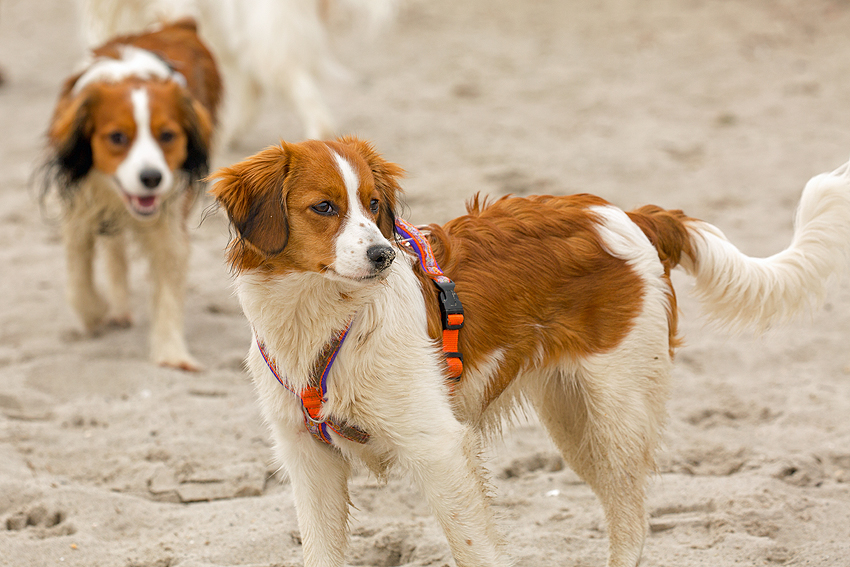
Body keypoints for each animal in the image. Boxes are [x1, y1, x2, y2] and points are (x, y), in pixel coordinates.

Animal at [45, 18, 220, 372]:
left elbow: (168, 286)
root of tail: (178, 24)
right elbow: (78, 279)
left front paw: (172, 353)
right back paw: (117, 307)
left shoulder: (169, 222)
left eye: (167, 135)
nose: (151, 178)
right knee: (113, 250)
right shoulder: (79, 210)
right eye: (117, 137)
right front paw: (94, 312)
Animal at [207, 139, 848, 567]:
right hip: (571, 421)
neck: (324, 319)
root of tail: (629, 214)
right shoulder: (309, 459)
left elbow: (475, 548)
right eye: (324, 207)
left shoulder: (440, 449)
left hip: (615, 417)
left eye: (372, 204)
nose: (384, 255)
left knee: (632, 519)